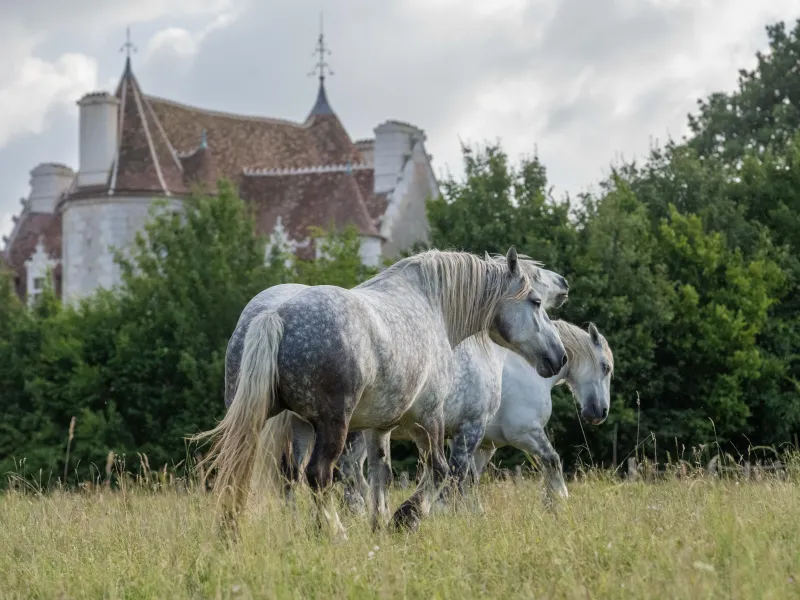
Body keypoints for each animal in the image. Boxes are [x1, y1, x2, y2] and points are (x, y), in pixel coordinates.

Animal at [191, 247, 567, 538]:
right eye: (535, 301)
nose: (559, 357)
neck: (433, 306)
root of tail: (276, 314)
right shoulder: (430, 419)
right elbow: (440, 471)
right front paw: (405, 518)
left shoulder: (380, 427)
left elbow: (380, 474)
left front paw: (380, 523)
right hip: (331, 425)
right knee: (318, 474)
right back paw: (335, 532)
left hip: (261, 420)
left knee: (241, 469)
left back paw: (232, 533)